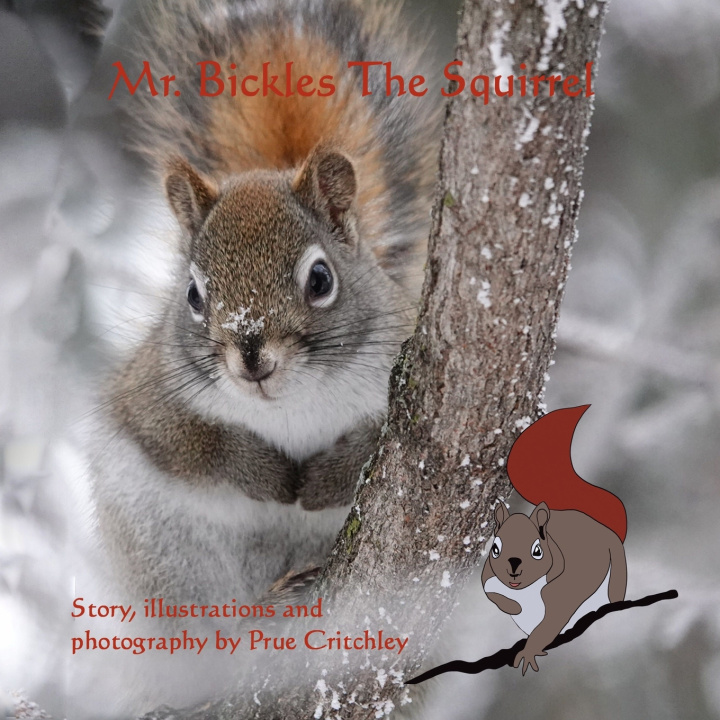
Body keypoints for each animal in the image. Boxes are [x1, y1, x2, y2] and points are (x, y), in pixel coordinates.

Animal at [91, 0, 439, 611]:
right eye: (193, 295)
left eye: (320, 279)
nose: (252, 357)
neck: (291, 405)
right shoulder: (151, 400)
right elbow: (195, 446)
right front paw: (268, 476)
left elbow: (374, 446)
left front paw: (323, 481)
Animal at [481, 405, 628, 675]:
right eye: (495, 549)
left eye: (537, 550)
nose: (513, 566)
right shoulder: (489, 574)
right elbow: (490, 590)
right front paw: (513, 606)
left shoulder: (563, 593)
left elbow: (550, 622)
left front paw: (528, 652)